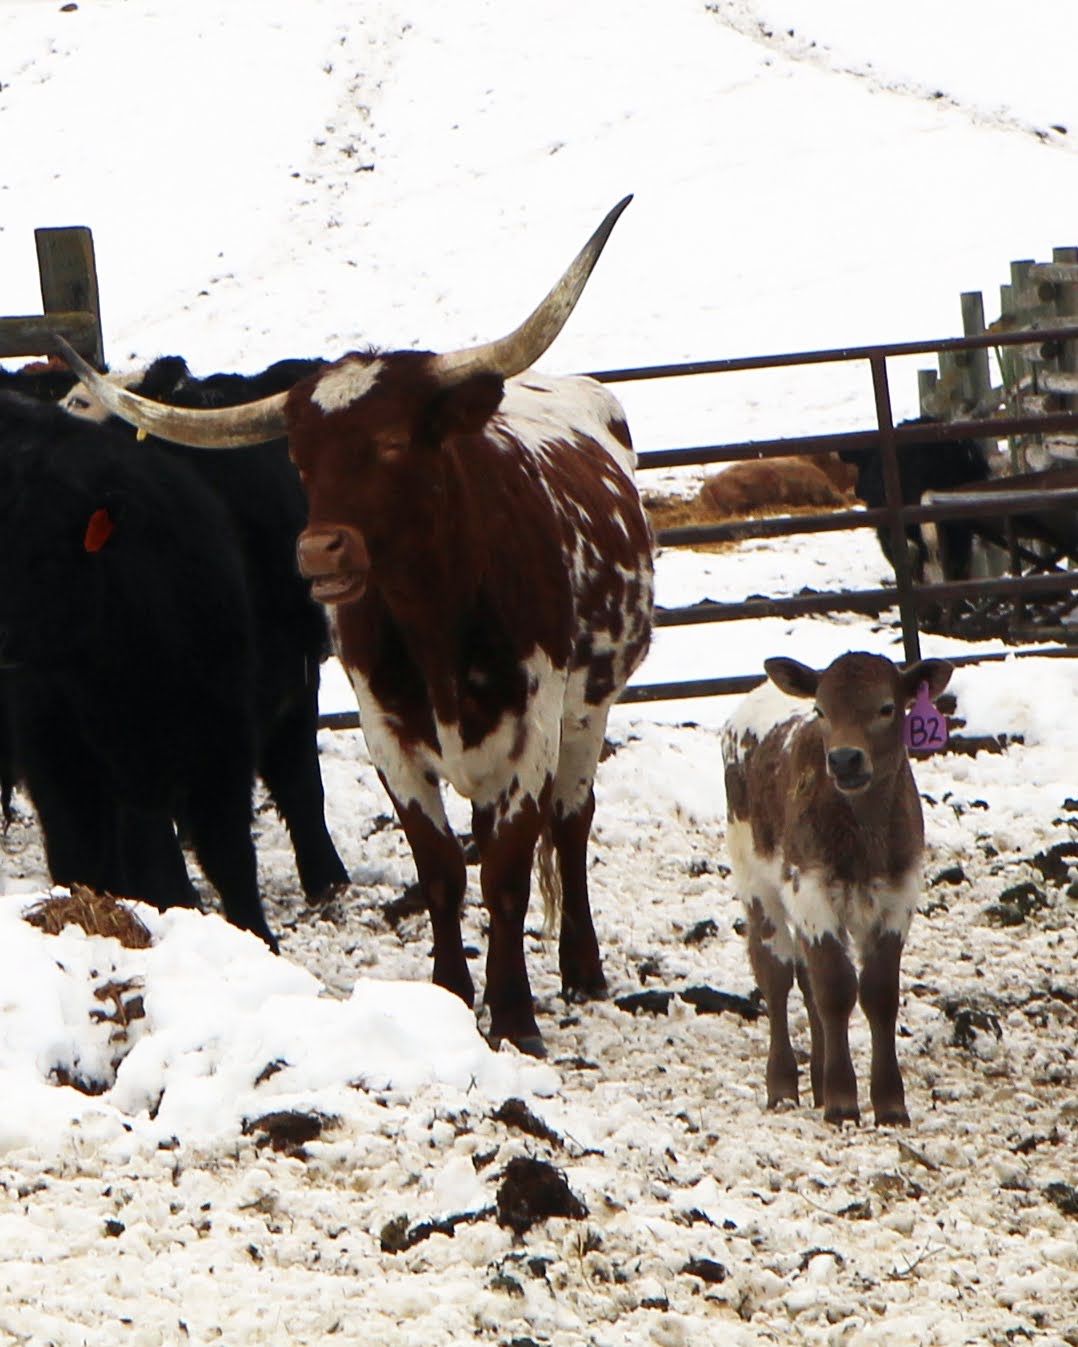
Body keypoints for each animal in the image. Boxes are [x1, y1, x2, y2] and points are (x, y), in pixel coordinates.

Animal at [58, 196, 654, 1056]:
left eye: (394, 441)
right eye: (300, 457)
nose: (318, 550)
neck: (438, 623)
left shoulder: (530, 733)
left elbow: (507, 871)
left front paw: (514, 1015)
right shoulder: (388, 736)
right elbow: (441, 867)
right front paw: (449, 994)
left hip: (589, 708)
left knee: (572, 829)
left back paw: (583, 967)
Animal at [722, 650, 953, 1125]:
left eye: (886, 707)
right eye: (821, 710)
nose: (845, 760)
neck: (863, 836)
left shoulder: (900, 895)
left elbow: (879, 993)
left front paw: (889, 1103)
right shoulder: (809, 890)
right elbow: (835, 988)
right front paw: (844, 1101)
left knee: (806, 977)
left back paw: (817, 1083)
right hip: (755, 879)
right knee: (777, 973)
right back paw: (783, 1085)